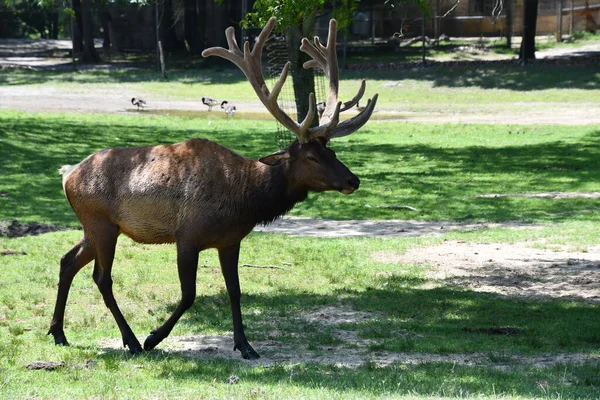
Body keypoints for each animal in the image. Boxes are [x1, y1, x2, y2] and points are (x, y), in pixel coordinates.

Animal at [50, 17, 380, 360]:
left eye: (332, 151)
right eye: (313, 156)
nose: (353, 180)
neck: (244, 201)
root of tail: (67, 175)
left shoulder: (230, 241)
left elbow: (235, 291)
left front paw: (245, 345)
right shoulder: (187, 235)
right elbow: (189, 294)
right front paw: (154, 337)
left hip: (97, 227)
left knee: (67, 261)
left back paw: (59, 333)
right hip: (100, 223)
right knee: (102, 277)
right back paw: (132, 340)